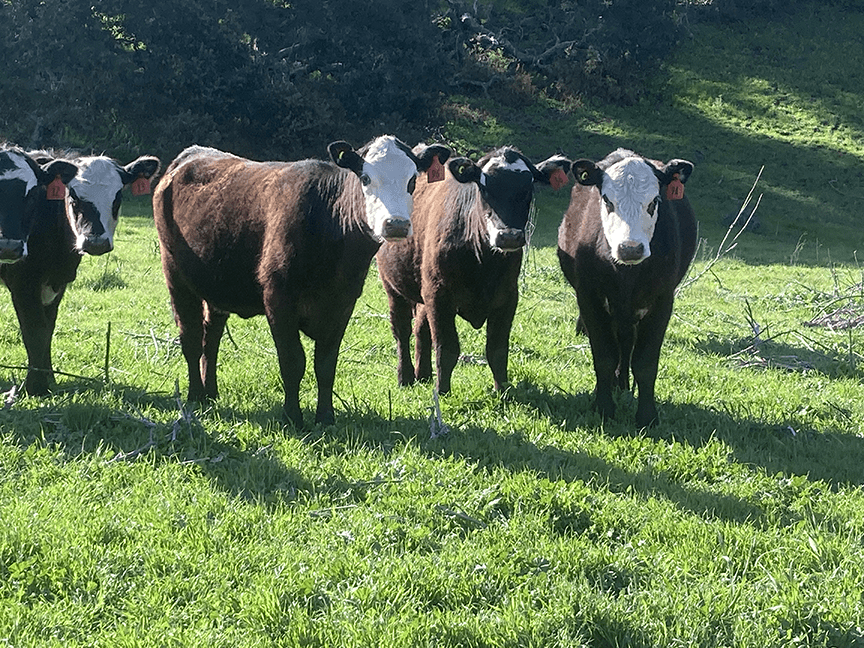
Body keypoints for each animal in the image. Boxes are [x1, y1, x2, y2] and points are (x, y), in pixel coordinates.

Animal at [556, 149, 700, 428]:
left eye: (654, 201)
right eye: (607, 200)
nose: (630, 248)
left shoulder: (662, 301)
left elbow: (645, 363)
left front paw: (647, 416)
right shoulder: (589, 298)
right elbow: (603, 357)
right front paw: (603, 407)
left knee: (626, 345)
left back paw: (622, 384)